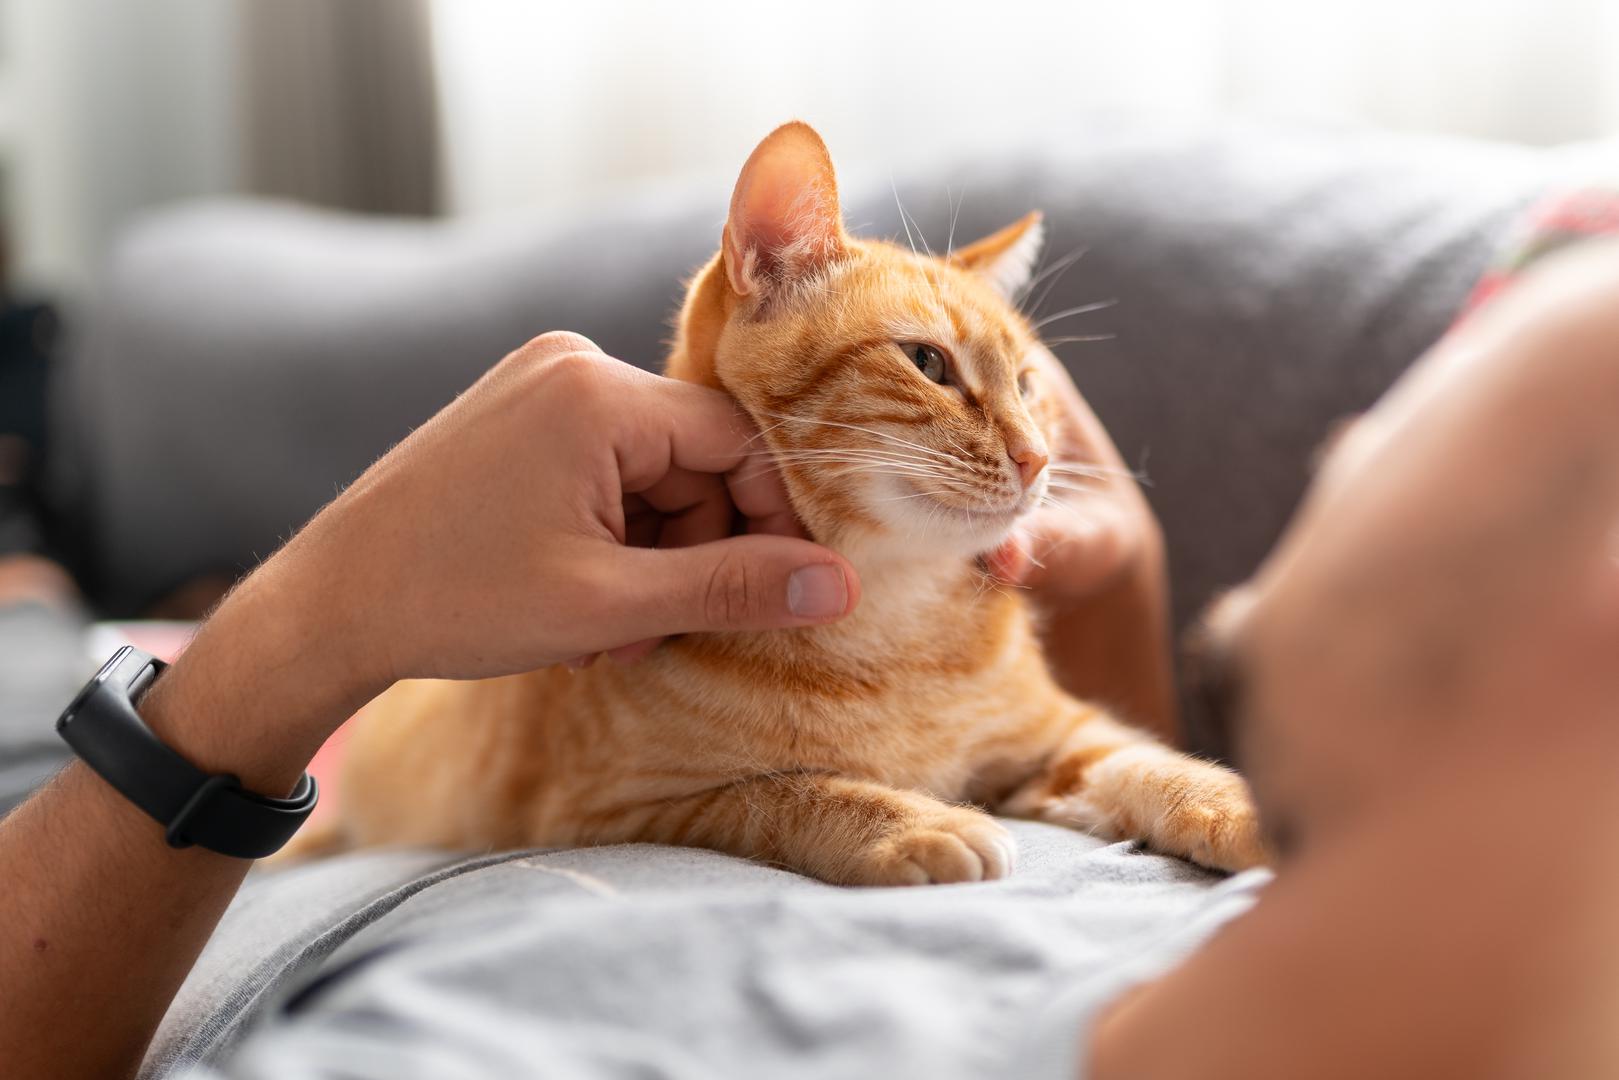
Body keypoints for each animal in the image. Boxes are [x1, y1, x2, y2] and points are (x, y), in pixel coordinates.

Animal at [304, 124, 1262, 887]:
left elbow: (1151, 761)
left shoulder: (1056, 743)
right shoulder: (620, 810)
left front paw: (1242, 806)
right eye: (929, 363)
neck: (895, 629)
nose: (1036, 459)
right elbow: (787, 793)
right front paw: (916, 821)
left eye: (1030, 386)